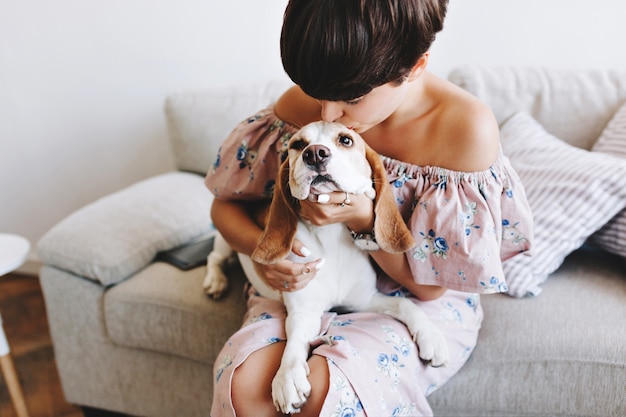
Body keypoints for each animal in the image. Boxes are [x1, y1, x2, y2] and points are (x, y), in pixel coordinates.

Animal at [202, 120, 446, 412]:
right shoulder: (304, 312)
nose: (315, 153)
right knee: (214, 258)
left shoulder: (364, 300)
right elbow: (294, 343)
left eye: (345, 140)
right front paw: (289, 377)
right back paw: (215, 281)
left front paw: (431, 336)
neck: (331, 236)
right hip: (223, 240)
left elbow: (406, 303)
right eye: (297, 145)